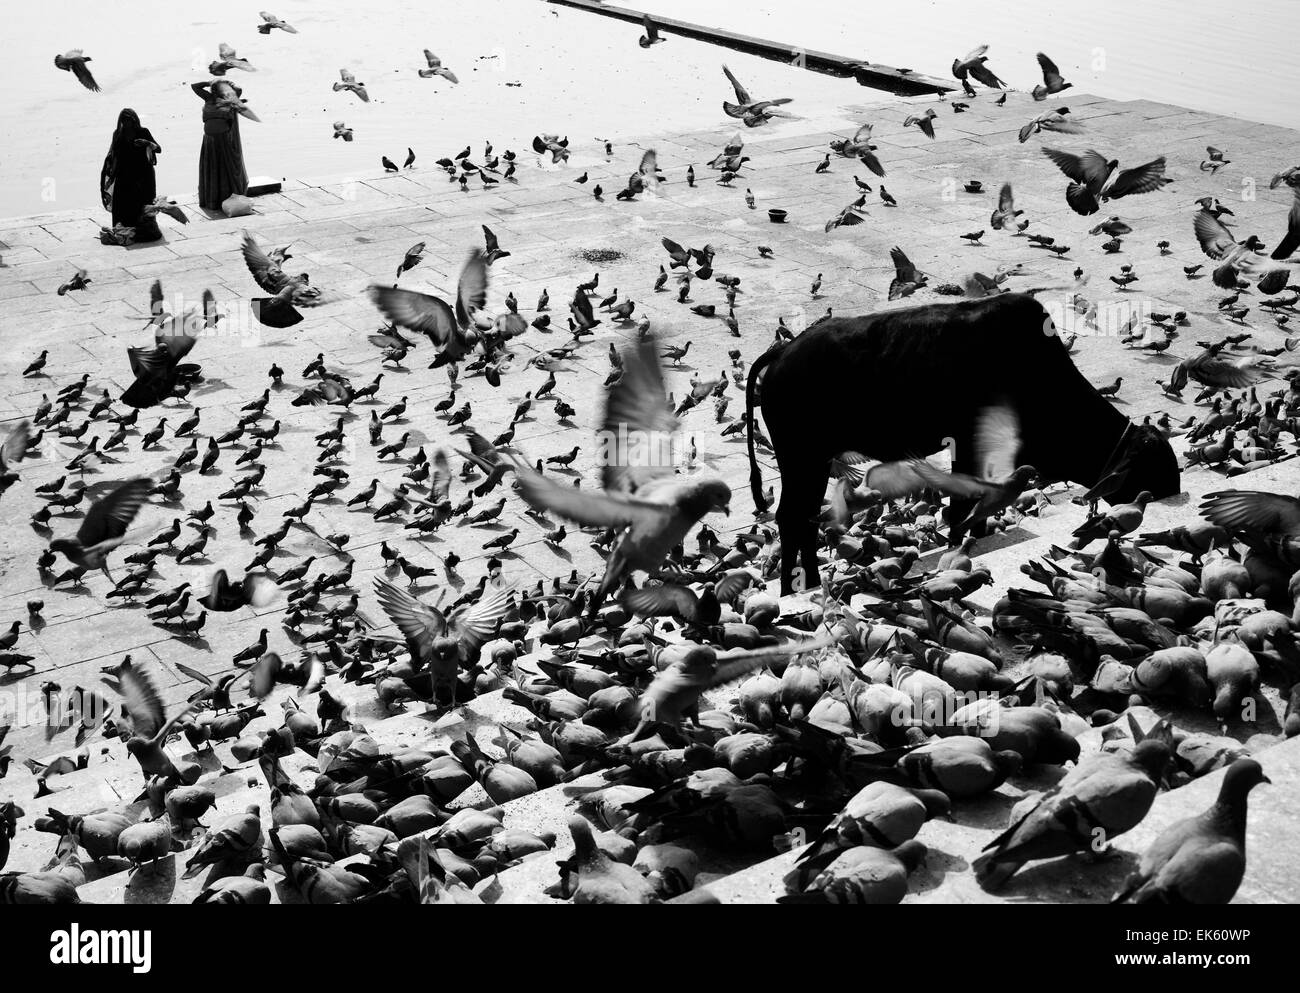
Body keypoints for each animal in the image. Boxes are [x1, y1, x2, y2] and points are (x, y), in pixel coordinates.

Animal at [748, 291, 1185, 592]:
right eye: (1156, 467)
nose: (1174, 491)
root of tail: (783, 351)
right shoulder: (969, 446)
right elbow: (961, 506)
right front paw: (962, 544)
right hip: (801, 458)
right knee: (791, 518)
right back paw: (797, 584)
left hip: (811, 461)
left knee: (803, 518)